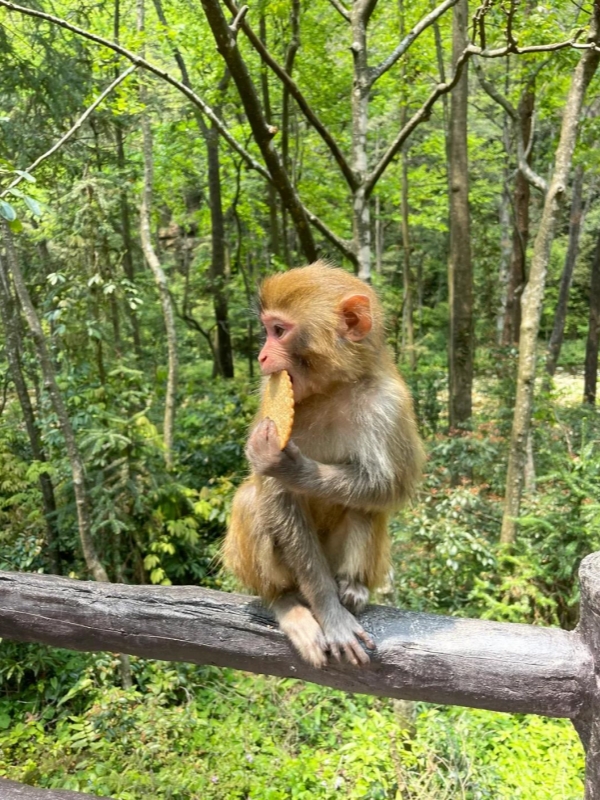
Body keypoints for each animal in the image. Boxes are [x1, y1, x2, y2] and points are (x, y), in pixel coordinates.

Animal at [223, 262, 424, 668]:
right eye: (267, 330)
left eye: (278, 331)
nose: (261, 357)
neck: (331, 390)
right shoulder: (268, 397)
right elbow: (277, 497)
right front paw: (330, 614)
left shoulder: (390, 403)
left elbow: (390, 485)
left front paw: (289, 467)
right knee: (252, 501)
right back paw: (285, 601)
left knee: (366, 506)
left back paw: (353, 587)